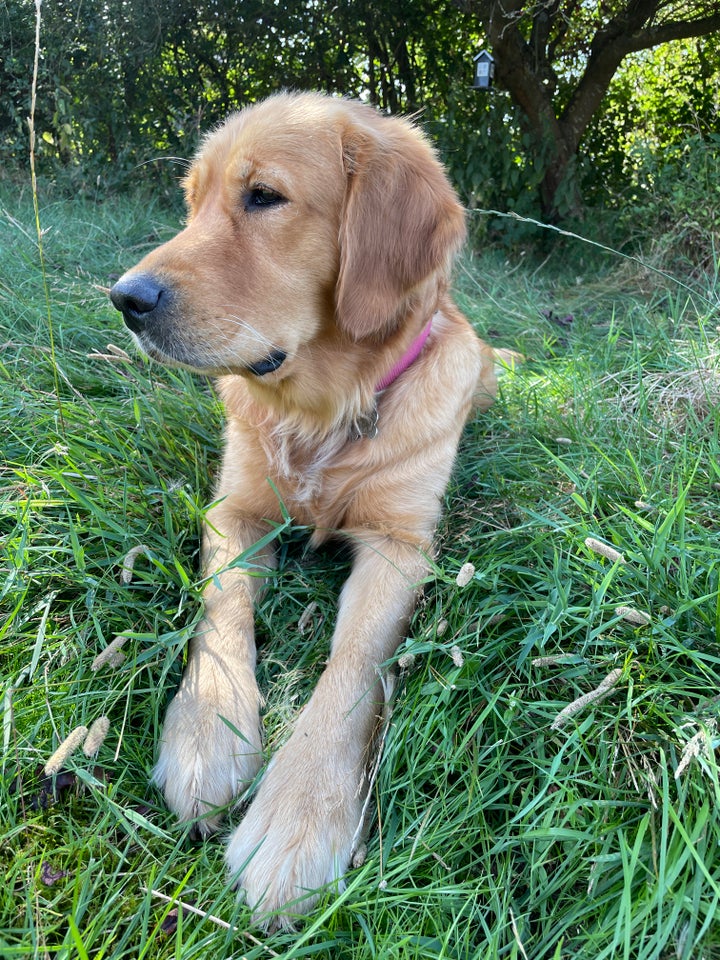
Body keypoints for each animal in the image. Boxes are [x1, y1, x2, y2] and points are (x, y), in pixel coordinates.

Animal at [111, 92, 500, 928]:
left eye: (264, 197)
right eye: (191, 203)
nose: (126, 299)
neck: (321, 414)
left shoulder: (400, 544)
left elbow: (352, 666)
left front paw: (300, 813)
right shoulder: (235, 511)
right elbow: (222, 608)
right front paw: (208, 734)